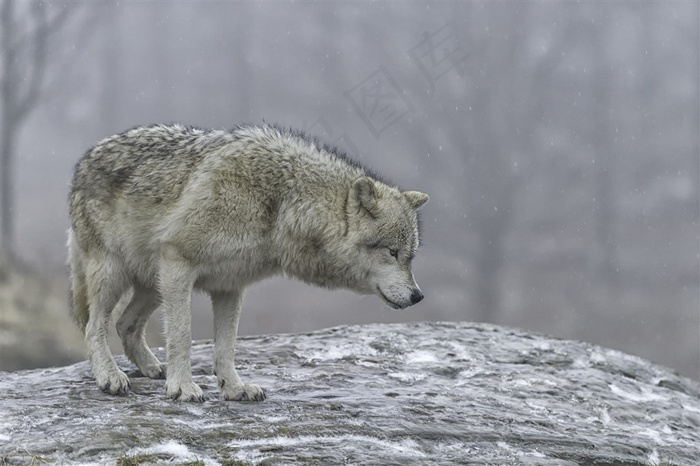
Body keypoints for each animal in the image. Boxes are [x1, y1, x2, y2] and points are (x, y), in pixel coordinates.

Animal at [67, 123, 426, 400]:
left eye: (410, 256)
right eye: (392, 252)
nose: (418, 296)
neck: (280, 203)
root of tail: (85, 158)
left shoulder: (230, 286)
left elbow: (226, 348)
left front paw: (234, 388)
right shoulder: (178, 262)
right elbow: (182, 336)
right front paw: (182, 387)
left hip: (153, 284)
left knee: (124, 324)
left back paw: (152, 368)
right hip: (118, 276)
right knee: (94, 326)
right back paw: (110, 377)